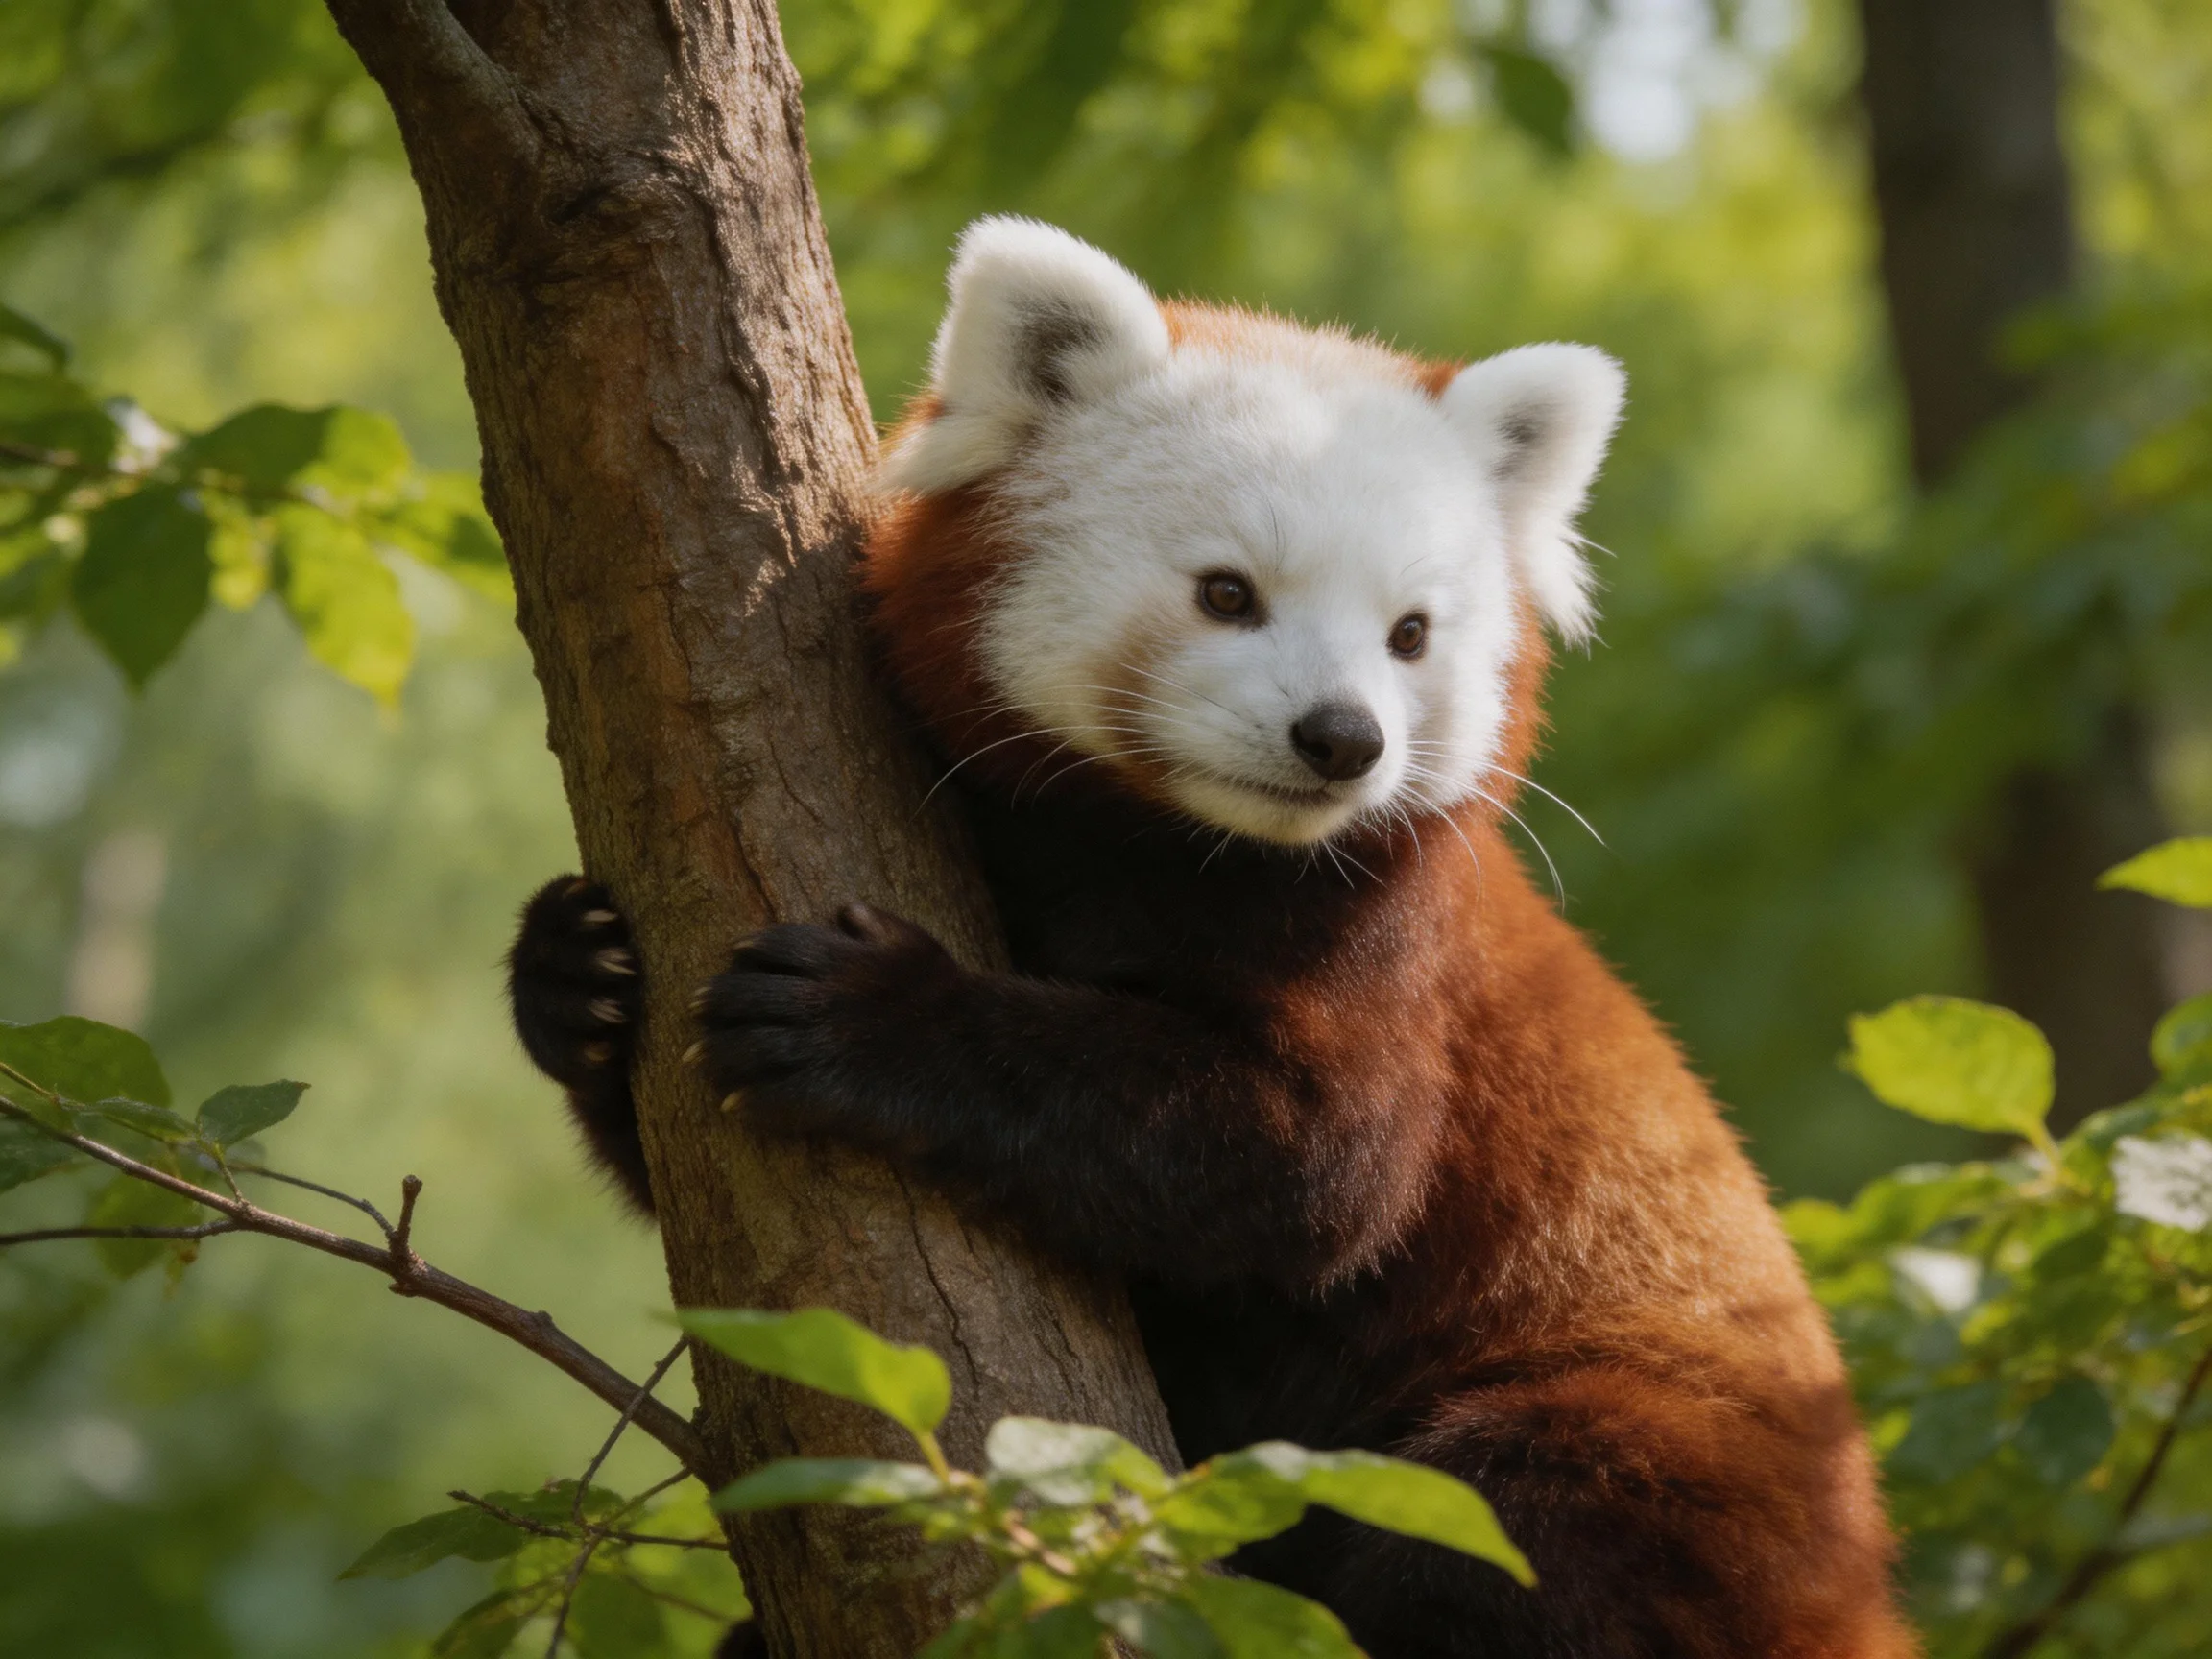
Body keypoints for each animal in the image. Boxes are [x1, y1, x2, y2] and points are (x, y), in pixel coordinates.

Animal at [509, 218, 1913, 1658]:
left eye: (1411, 634)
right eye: (1228, 594)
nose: (1344, 738)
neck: (1158, 844)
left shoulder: (1380, 940)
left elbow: (1306, 1166)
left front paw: (871, 1016)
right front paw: (577, 977)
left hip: (1659, 1442)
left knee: (1507, 1529)